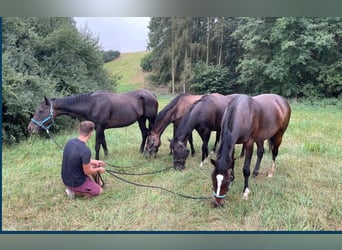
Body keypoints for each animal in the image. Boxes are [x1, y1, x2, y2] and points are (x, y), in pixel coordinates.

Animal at [28, 90, 159, 160]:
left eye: (40, 111)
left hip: (151, 119)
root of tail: (152, 94)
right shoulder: (99, 128)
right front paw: (106, 157)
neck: (91, 104)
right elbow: (103, 143)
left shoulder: (100, 127)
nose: (30, 128)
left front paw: (97, 161)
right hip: (141, 119)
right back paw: (141, 151)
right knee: (144, 133)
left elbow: (97, 145)